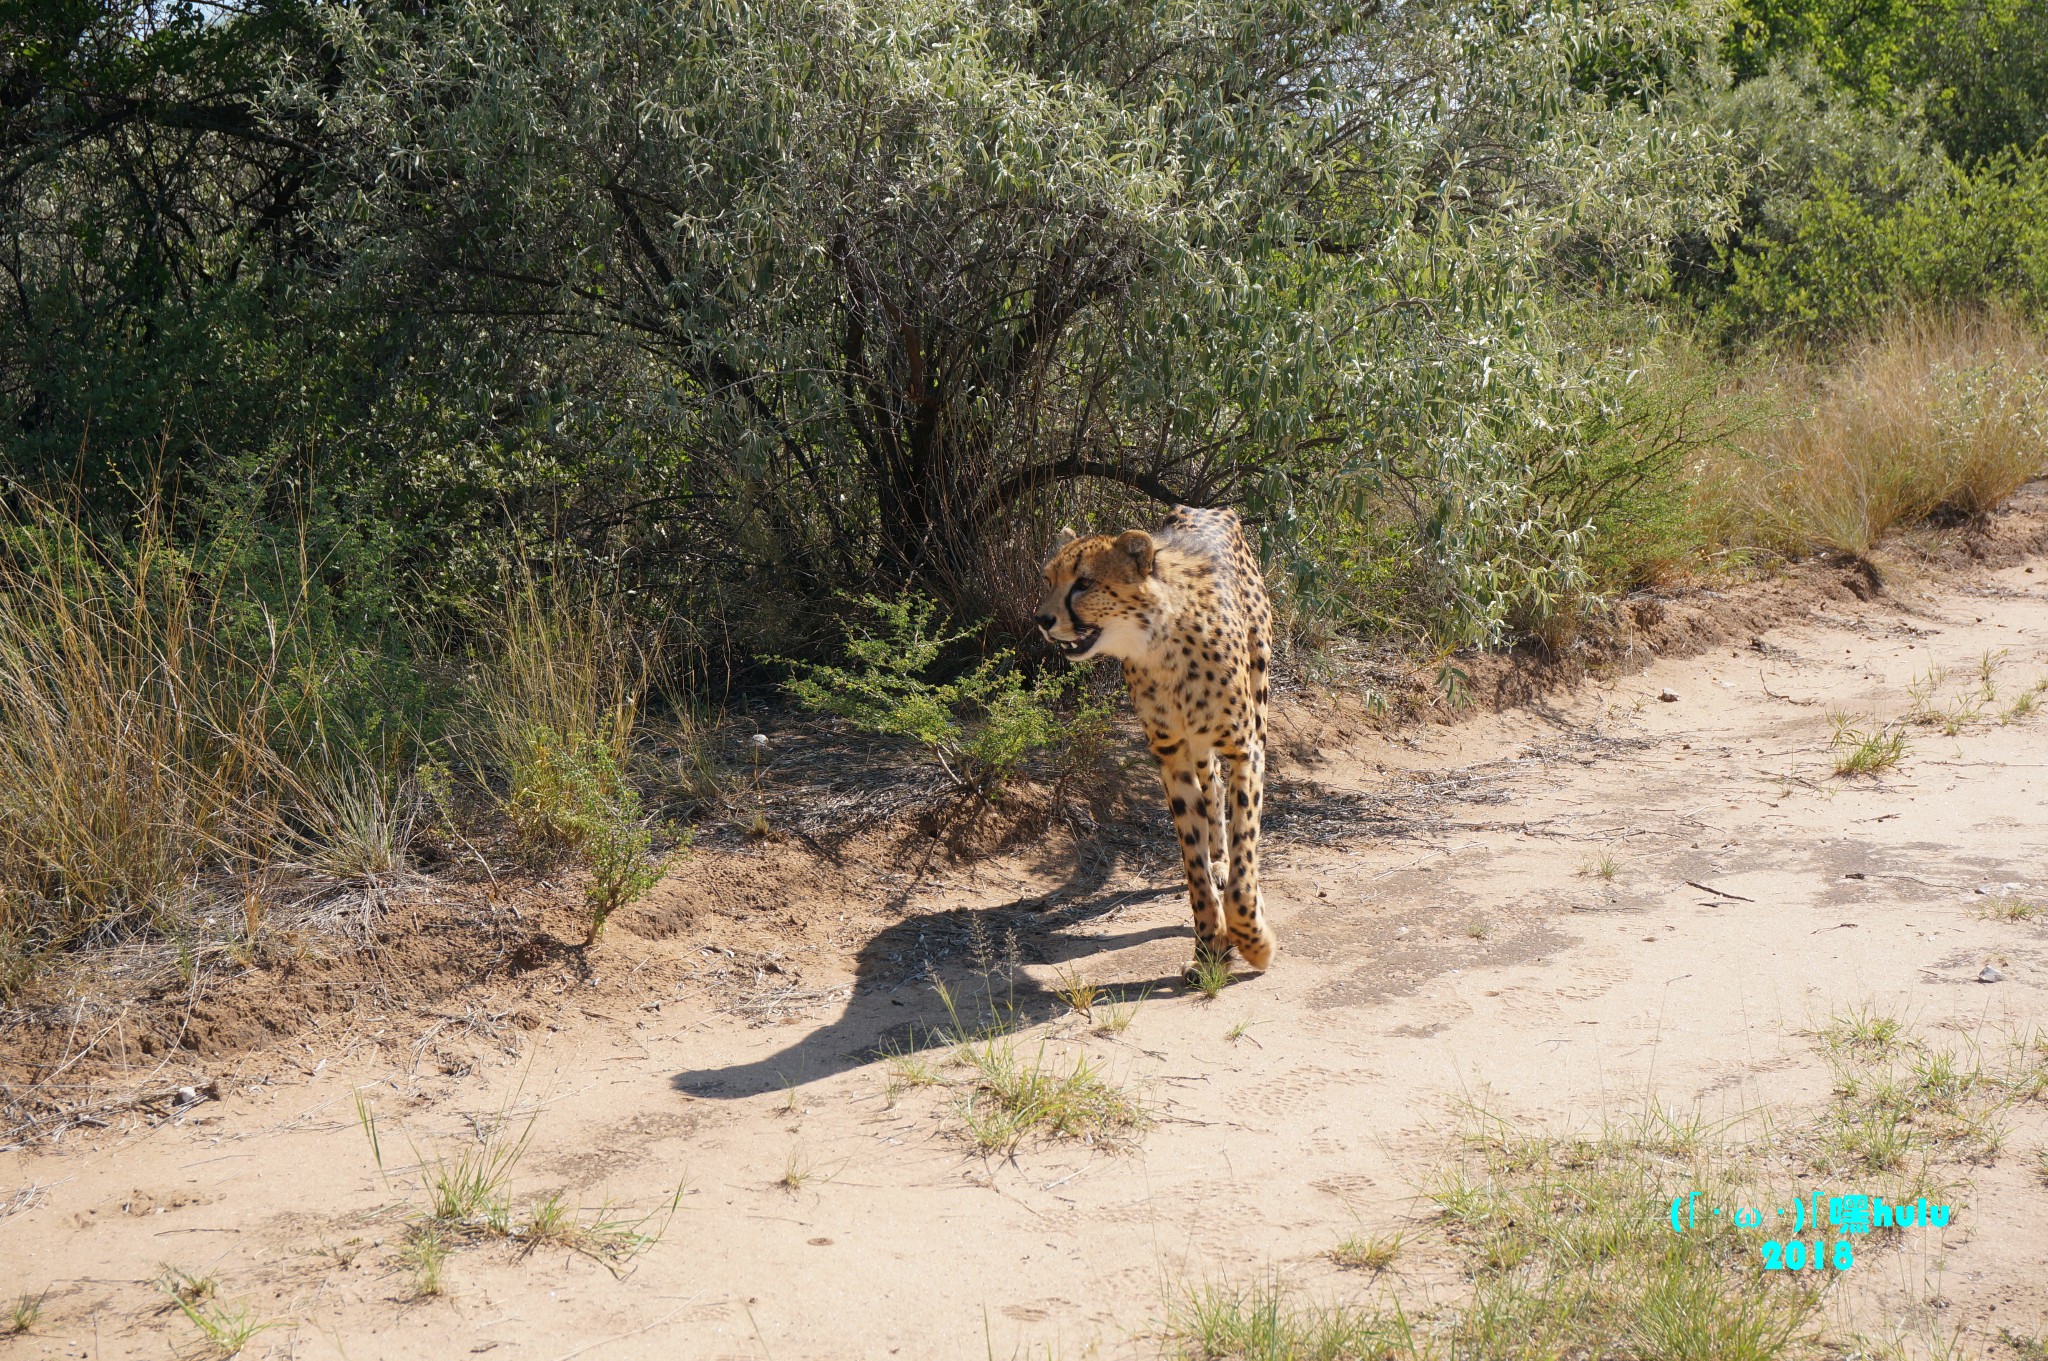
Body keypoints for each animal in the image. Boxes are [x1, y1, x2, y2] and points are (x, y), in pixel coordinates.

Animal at [1040, 503, 1277, 970]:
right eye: (1048, 580)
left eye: (1084, 583)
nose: (1042, 619)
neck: (1160, 644)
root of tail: (1206, 507)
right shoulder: (1171, 758)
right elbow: (1193, 860)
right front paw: (1208, 946)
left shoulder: (1246, 749)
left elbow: (1246, 851)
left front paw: (1253, 939)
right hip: (1198, 748)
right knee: (1212, 787)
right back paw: (1218, 861)